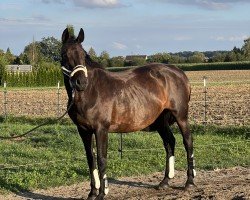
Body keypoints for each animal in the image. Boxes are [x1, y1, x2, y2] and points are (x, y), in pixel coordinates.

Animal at [60, 28, 195, 200]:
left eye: (83, 55)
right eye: (65, 54)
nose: (81, 82)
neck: (90, 92)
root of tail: (179, 73)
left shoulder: (101, 129)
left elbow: (101, 159)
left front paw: (102, 193)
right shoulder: (83, 130)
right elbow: (91, 159)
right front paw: (92, 193)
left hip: (181, 116)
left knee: (188, 142)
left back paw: (189, 182)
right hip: (160, 121)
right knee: (169, 142)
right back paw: (165, 181)